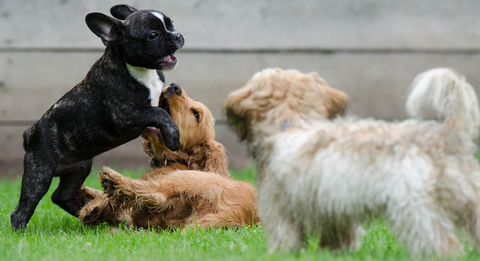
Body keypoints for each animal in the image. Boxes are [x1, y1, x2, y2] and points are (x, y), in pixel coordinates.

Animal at [9, 4, 186, 230]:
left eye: (171, 24)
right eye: (152, 35)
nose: (177, 35)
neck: (141, 71)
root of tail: (30, 132)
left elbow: (163, 110)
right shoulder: (126, 115)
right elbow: (158, 112)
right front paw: (173, 136)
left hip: (80, 167)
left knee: (61, 196)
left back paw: (87, 214)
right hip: (40, 173)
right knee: (24, 207)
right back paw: (21, 231)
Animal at [79, 83, 258, 228]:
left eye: (196, 114)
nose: (174, 86)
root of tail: (236, 213)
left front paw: (93, 205)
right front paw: (87, 194)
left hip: (187, 178)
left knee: (156, 195)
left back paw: (112, 181)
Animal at [223, 67, 480, 256]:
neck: (293, 122)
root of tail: (447, 134)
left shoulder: (280, 209)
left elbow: (286, 238)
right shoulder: (335, 211)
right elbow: (338, 238)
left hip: (415, 210)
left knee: (443, 244)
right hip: (471, 202)